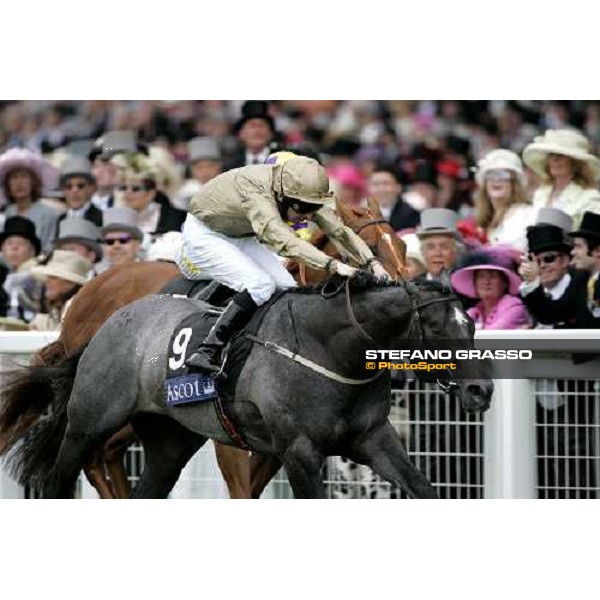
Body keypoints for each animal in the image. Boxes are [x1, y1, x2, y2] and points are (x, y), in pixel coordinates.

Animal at [1, 196, 408, 496]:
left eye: (403, 245)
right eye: (369, 248)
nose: (405, 291)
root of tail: (85, 294)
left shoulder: (283, 444)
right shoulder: (230, 437)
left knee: (109, 453)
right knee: (94, 454)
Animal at [12, 272, 492, 496]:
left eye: (471, 325)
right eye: (438, 329)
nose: (480, 391)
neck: (331, 349)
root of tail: (108, 322)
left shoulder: (374, 439)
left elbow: (422, 489)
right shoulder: (299, 450)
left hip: (170, 441)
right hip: (89, 423)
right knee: (58, 480)